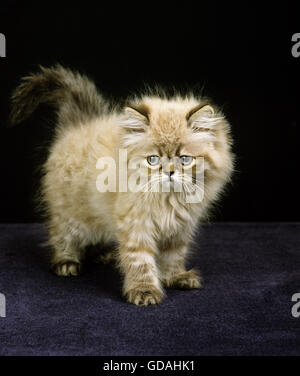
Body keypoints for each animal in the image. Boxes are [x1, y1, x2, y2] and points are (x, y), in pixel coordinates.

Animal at [9, 64, 234, 306]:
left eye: (184, 159)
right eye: (153, 159)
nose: (170, 172)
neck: (168, 199)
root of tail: (79, 124)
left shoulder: (180, 229)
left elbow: (174, 256)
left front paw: (176, 277)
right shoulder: (135, 225)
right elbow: (140, 261)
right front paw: (144, 291)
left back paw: (104, 253)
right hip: (70, 212)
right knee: (61, 234)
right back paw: (66, 262)